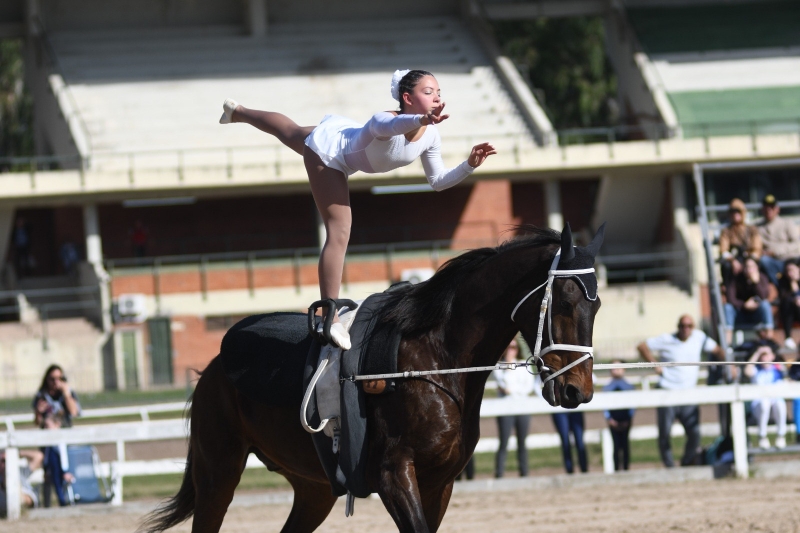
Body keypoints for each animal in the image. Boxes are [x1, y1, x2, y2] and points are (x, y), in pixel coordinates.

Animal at [141, 224, 600, 532]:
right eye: (564, 302)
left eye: (595, 307)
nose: (576, 389)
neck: (434, 360)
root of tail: (214, 366)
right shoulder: (395, 476)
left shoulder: (438, 484)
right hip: (217, 475)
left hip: (313, 488)